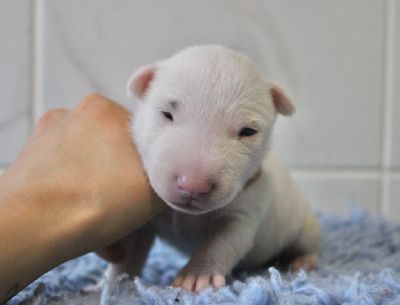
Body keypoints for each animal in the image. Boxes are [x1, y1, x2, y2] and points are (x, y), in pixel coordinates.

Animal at [98, 44, 320, 290]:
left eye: (248, 131)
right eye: (166, 114)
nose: (193, 186)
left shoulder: (244, 212)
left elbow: (221, 244)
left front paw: (196, 276)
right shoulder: (144, 223)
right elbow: (130, 253)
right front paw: (113, 284)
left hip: (304, 225)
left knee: (308, 243)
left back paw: (303, 261)